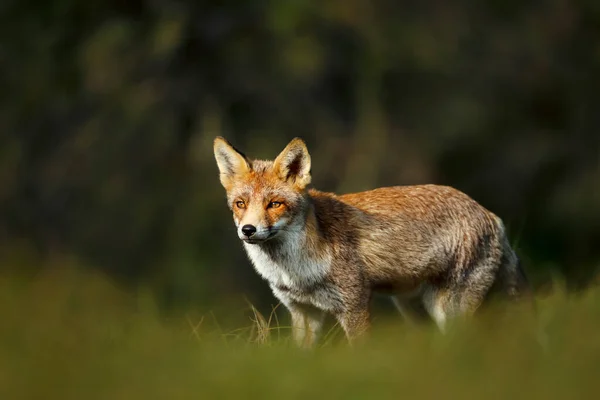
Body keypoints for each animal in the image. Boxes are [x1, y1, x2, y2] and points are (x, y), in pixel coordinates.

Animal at [214, 135, 528, 346]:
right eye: (241, 204)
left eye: (275, 204)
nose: (249, 230)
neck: (296, 270)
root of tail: (490, 214)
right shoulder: (303, 312)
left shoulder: (355, 306)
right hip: (414, 310)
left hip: (450, 309)